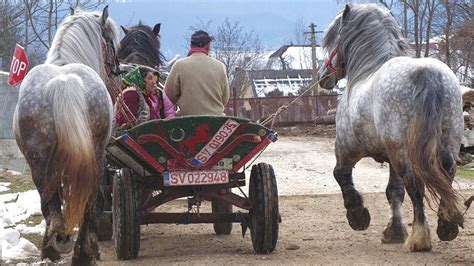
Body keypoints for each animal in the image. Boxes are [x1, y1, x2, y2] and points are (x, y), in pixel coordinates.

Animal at [12, 6, 119, 264]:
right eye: (110, 41)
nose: (118, 72)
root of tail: (63, 82)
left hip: (40, 163)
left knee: (50, 200)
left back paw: (54, 246)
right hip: (94, 158)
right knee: (90, 200)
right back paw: (80, 251)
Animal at [318, 4, 462, 254]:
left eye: (333, 38)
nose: (322, 77)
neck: (367, 71)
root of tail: (427, 74)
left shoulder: (346, 149)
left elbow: (341, 175)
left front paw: (358, 216)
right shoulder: (391, 158)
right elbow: (394, 190)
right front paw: (394, 231)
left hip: (404, 153)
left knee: (416, 186)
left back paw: (419, 238)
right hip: (445, 144)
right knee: (446, 175)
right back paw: (446, 226)